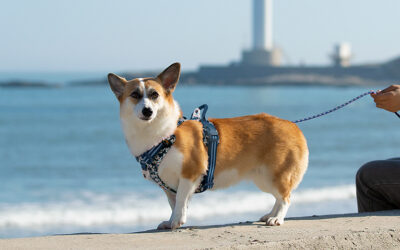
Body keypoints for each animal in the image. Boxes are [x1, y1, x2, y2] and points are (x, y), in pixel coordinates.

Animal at [108, 63, 308, 230]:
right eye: (135, 95)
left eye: (154, 95)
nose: (147, 111)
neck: (162, 135)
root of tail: (293, 126)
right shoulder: (168, 185)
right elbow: (174, 203)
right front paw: (172, 220)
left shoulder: (190, 173)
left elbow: (181, 200)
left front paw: (176, 221)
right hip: (263, 179)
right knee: (279, 197)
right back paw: (270, 215)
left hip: (275, 175)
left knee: (285, 197)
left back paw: (277, 218)